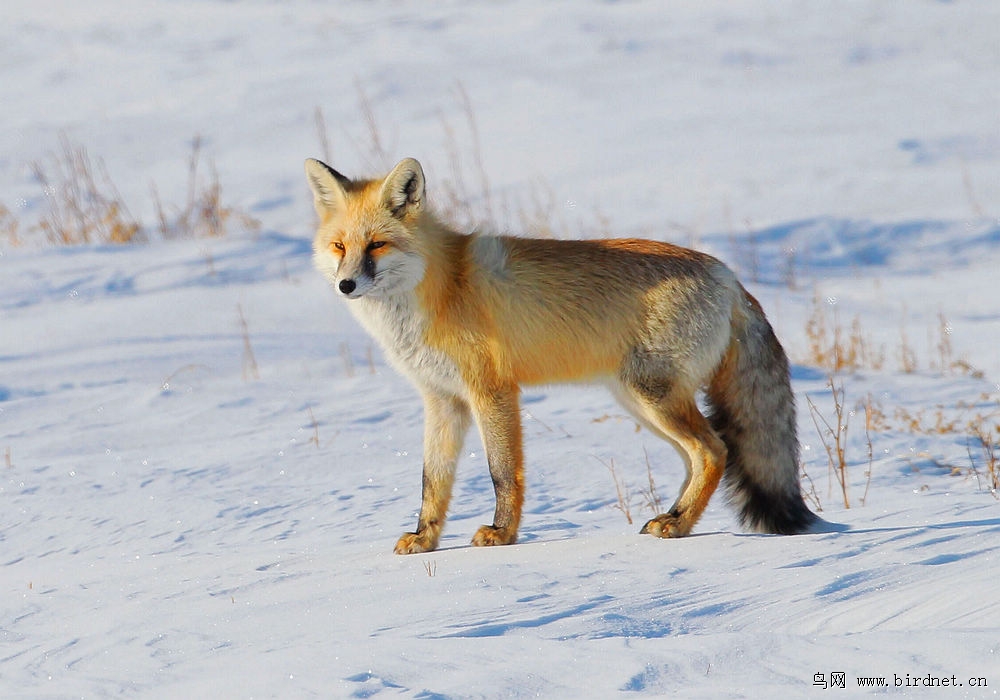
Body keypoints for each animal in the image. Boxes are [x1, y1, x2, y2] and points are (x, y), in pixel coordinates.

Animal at [302, 156, 812, 556]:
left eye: (377, 245)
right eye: (340, 246)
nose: (346, 284)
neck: (440, 289)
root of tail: (729, 276)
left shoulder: (493, 391)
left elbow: (503, 473)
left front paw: (502, 535)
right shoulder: (442, 399)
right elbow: (433, 481)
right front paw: (424, 540)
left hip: (653, 397)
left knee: (713, 450)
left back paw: (678, 524)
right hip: (641, 403)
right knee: (700, 457)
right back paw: (674, 518)